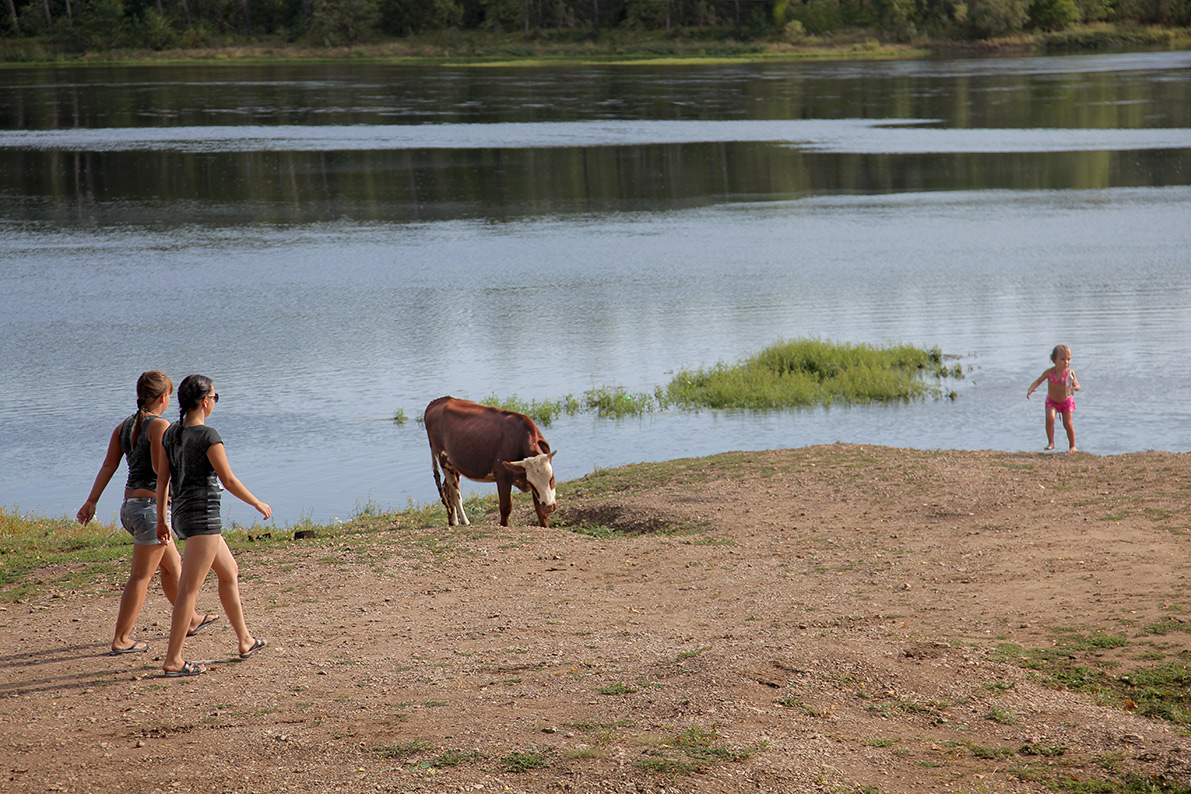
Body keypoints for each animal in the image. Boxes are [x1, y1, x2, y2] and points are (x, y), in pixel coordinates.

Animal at [423, 395, 557, 528]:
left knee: (447, 488)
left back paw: (453, 521)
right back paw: (465, 521)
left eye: (551, 478)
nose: (550, 506)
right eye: (532, 482)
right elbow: (505, 508)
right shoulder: (502, 477)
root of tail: (439, 401)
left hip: (455, 465)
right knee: (455, 491)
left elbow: (540, 512)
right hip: (444, 461)